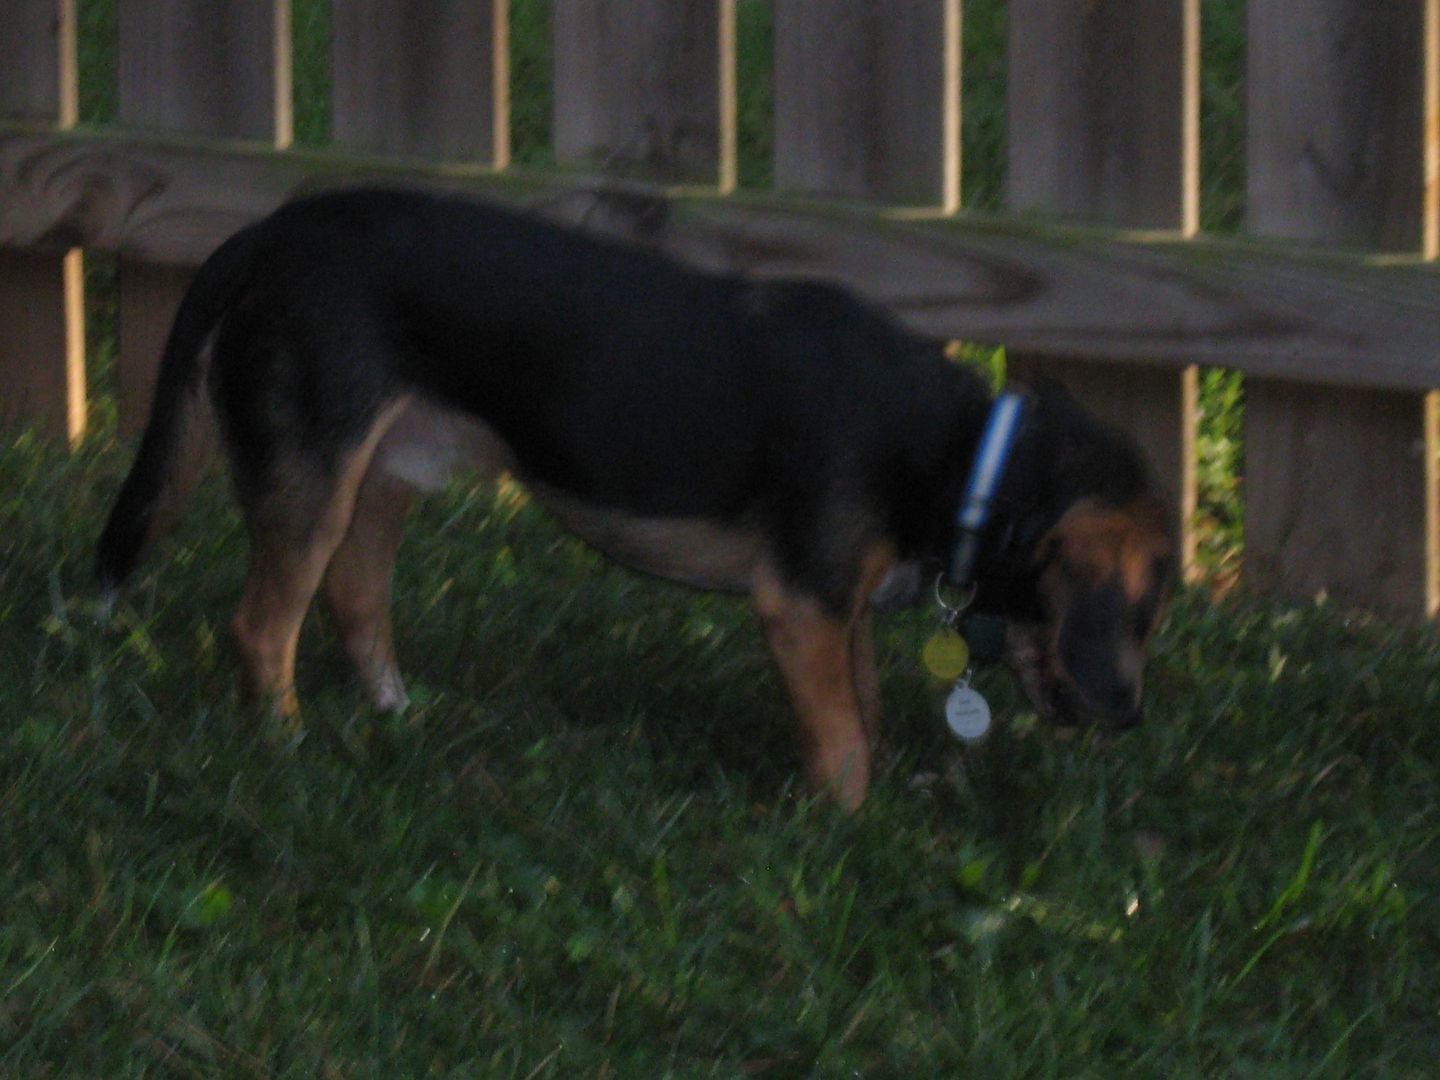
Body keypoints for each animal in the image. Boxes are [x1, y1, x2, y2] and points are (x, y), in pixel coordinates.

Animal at [104, 188, 1180, 812]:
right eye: (1139, 611)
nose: (1132, 719)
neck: (963, 451)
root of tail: (263, 233)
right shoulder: (800, 606)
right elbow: (842, 746)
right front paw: (845, 833)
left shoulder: (844, 607)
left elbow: (865, 709)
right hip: (316, 469)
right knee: (260, 627)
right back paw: (287, 750)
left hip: (383, 474)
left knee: (353, 598)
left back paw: (397, 720)